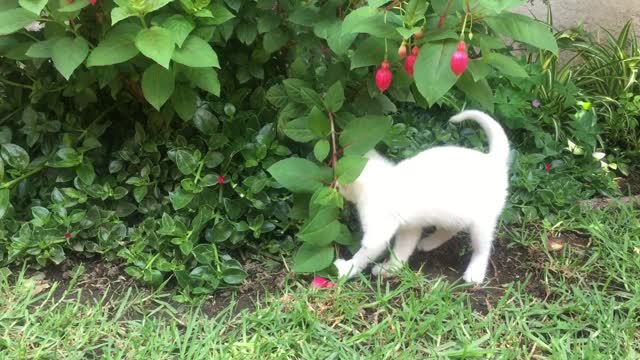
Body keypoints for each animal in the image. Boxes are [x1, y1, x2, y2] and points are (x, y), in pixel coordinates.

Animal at [336, 109, 510, 284]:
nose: (335, 185)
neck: (382, 180)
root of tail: (493, 160)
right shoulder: (410, 228)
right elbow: (402, 250)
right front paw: (390, 268)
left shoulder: (378, 231)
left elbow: (364, 253)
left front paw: (347, 269)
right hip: (453, 214)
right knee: (451, 228)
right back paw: (429, 243)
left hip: (481, 223)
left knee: (483, 248)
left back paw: (475, 272)